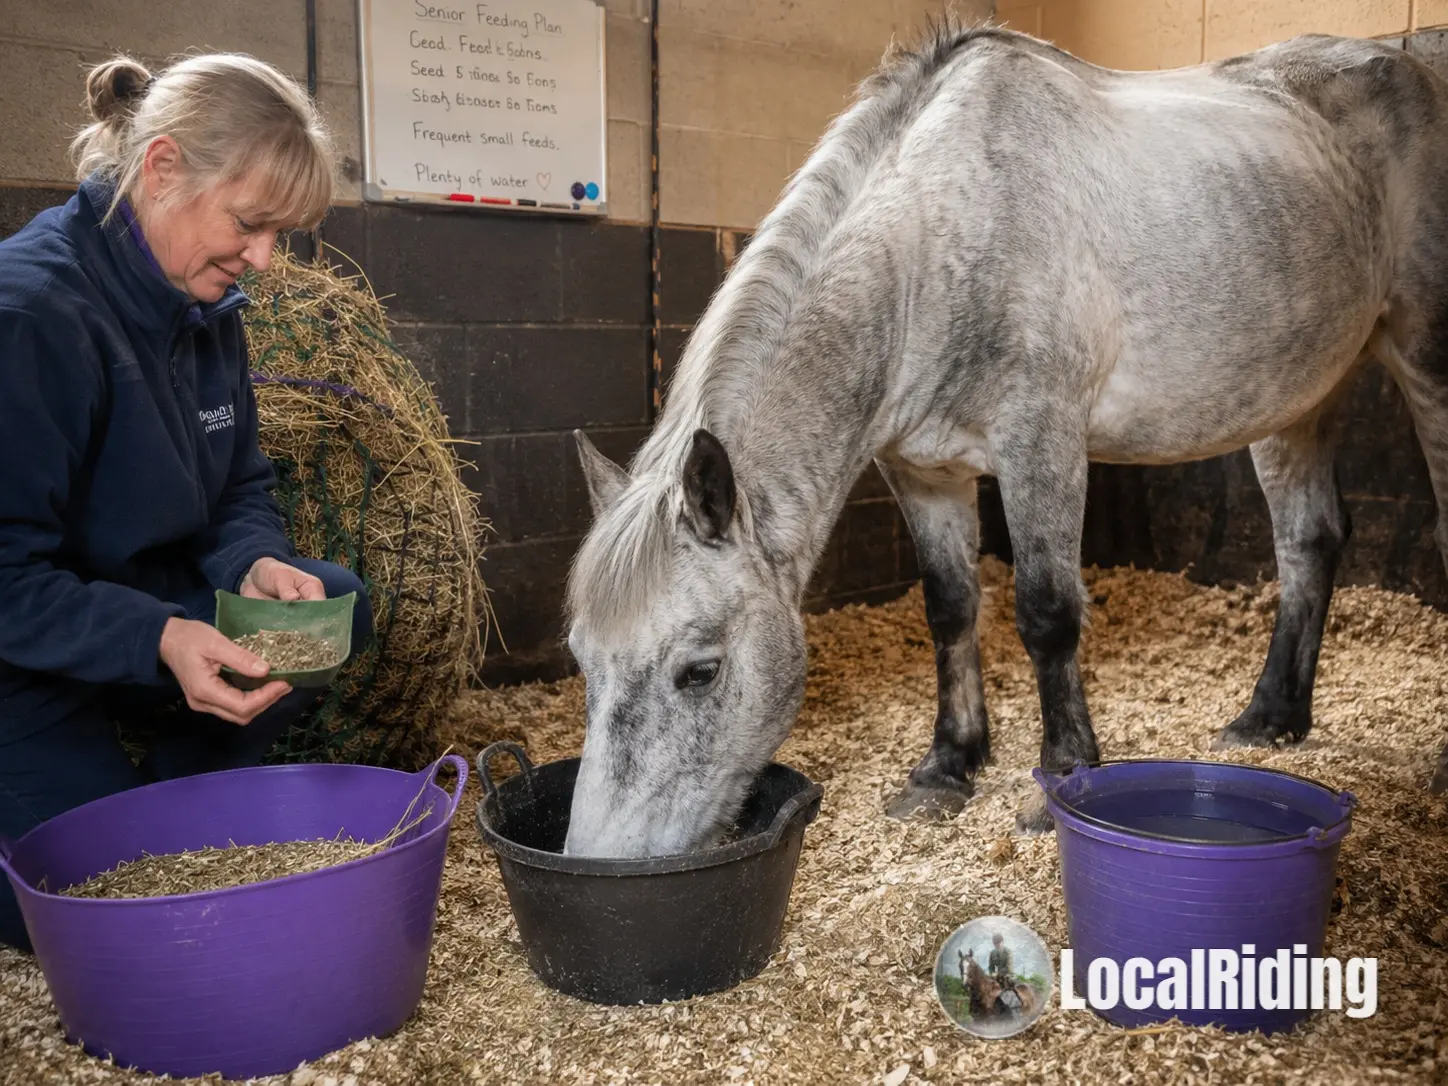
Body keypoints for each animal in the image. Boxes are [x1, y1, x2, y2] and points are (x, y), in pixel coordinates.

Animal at [560, 18, 1448, 858]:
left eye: (700, 671)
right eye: (581, 660)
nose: (605, 859)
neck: (942, 236)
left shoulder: (1041, 446)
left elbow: (1046, 613)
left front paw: (1058, 784)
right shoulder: (921, 472)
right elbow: (950, 609)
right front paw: (946, 769)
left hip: (1423, 362)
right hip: (1299, 394)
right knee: (1308, 541)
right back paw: (1270, 718)